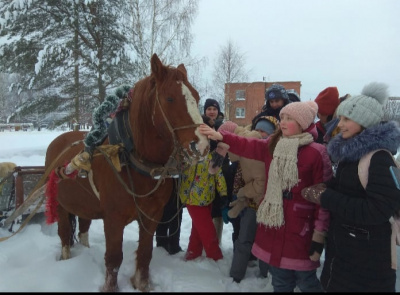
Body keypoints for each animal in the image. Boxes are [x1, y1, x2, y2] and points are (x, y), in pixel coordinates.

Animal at [44, 53, 209, 294]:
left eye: (196, 96)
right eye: (170, 98)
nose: (202, 145)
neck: (132, 160)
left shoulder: (152, 215)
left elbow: (145, 253)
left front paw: (141, 284)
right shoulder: (113, 218)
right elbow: (114, 258)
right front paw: (110, 287)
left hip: (84, 205)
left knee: (83, 229)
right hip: (60, 205)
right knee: (65, 233)